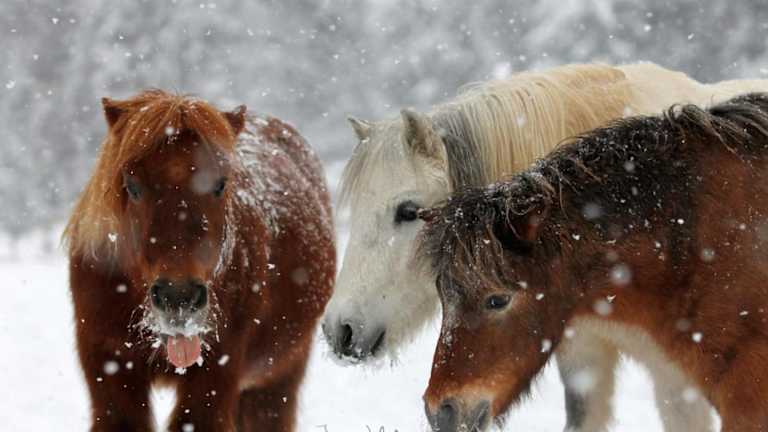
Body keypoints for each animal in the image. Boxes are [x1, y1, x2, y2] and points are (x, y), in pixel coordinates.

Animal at [63, 90, 335, 431]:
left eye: (220, 184)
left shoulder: (215, 379)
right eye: (132, 185)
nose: (178, 297)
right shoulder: (110, 370)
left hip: (276, 380)